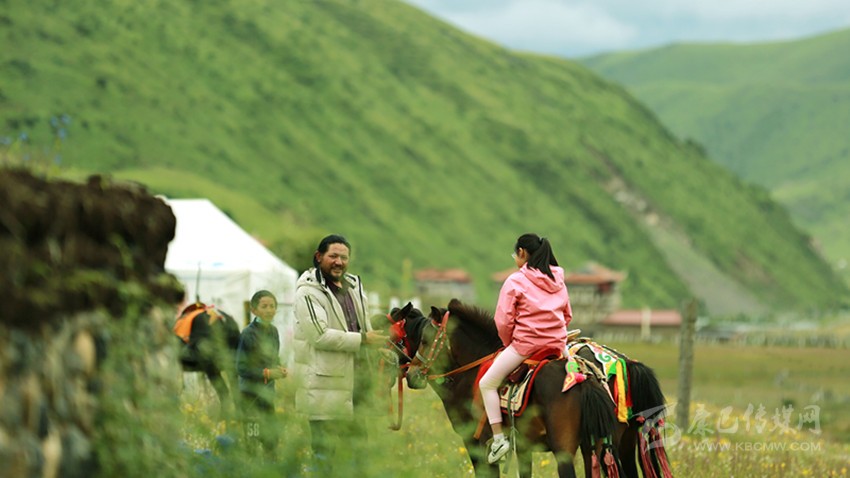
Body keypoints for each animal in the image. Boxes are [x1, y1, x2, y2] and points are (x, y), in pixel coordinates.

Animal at [383, 300, 622, 478]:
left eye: (425, 340)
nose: (413, 375)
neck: (471, 369)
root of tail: (583, 378)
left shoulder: (476, 443)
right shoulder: (524, 448)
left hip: (564, 451)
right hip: (592, 449)